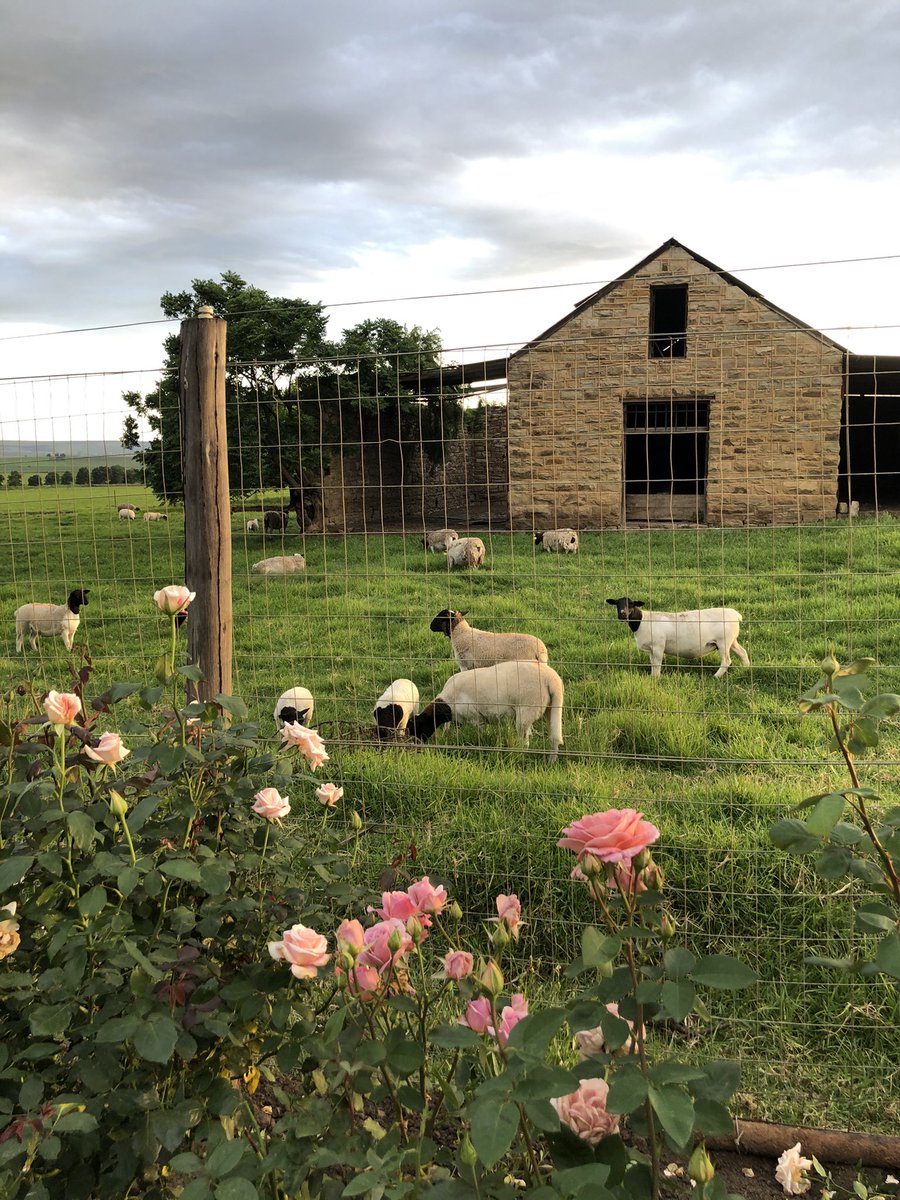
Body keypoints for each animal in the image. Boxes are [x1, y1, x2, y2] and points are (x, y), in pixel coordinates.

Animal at [409, 661, 564, 760]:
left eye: (417, 726)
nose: (415, 746)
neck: (447, 703)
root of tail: (551, 679)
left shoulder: (475, 717)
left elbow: (481, 733)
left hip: (526, 710)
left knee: (525, 742)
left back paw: (521, 756)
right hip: (550, 709)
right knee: (554, 737)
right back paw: (551, 761)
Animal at [606, 596, 750, 678]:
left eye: (631, 604)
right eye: (617, 604)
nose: (622, 615)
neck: (642, 621)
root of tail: (735, 614)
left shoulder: (658, 646)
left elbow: (657, 664)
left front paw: (655, 679)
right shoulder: (652, 649)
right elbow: (652, 663)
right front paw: (652, 677)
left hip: (723, 641)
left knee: (726, 661)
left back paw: (716, 677)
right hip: (732, 640)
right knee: (743, 652)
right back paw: (746, 669)